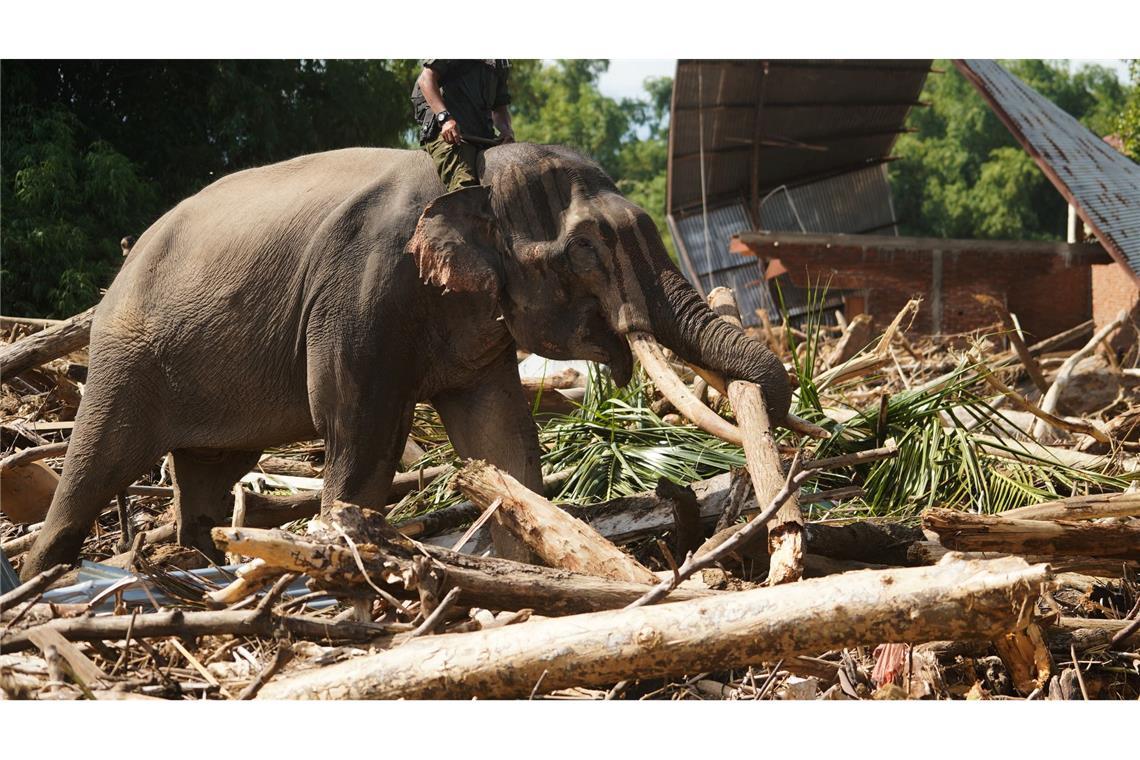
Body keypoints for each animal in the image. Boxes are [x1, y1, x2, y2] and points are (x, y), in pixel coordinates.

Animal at [20, 142, 791, 580]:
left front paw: (526, 566)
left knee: (208, 477)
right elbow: (359, 434)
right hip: (126, 357)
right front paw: (344, 553)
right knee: (97, 461)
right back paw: (44, 576)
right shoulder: (358, 296)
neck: (469, 176)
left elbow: (502, 441)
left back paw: (203, 565)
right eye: (581, 252)